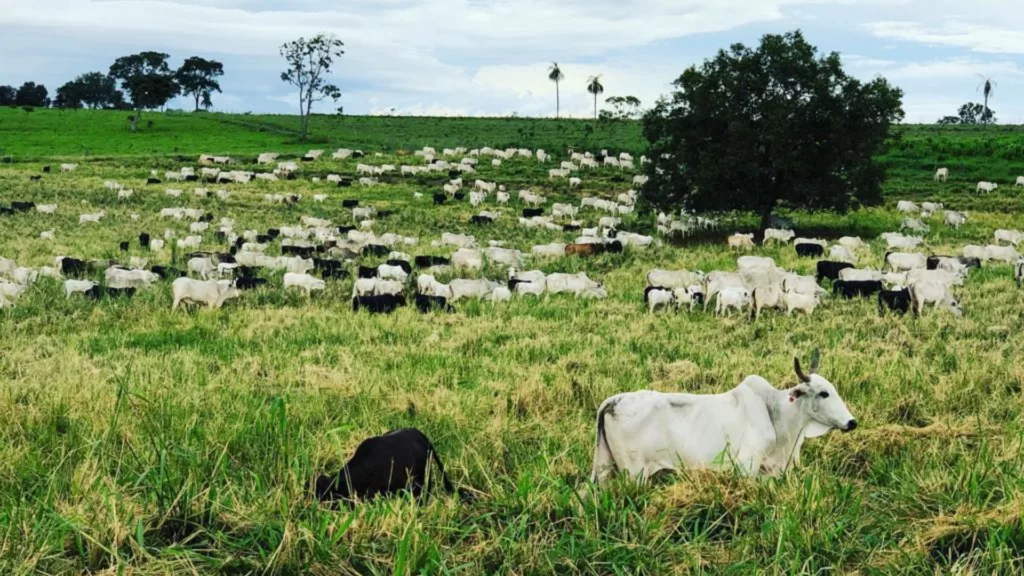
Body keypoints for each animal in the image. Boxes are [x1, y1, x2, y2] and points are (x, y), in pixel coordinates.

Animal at [589, 348, 851, 481]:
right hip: (635, 474)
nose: (852, 422)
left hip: (604, 468)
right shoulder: (747, 467)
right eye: (824, 393)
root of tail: (614, 400)